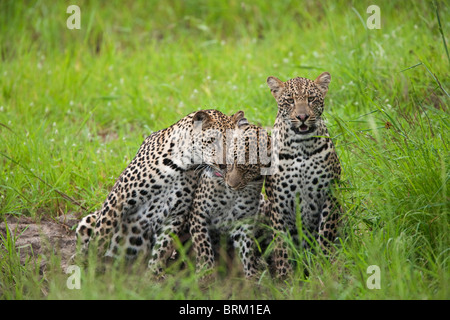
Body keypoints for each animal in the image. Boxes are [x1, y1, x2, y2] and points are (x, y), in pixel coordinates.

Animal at [75, 109, 248, 274]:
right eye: (212, 141)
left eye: (234, 144)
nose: (225, 165)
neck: (182, 165)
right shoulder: (118, 199)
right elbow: (101, 236)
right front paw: (93, 266)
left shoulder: (177, 215)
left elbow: (162, 246)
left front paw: (154, 274)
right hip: (88, 220)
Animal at [189, 120, 270, 278]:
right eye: (231, 160)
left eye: (250, 170)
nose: (231, 185)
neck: (231, 195)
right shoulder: (199, 214)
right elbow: (203, 247)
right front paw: (206, 274)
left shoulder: (243, 223)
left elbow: (247, 251)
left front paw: (252, 277)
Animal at [264, 72, 342, 278]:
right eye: (290, 101)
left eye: (311, 99)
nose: (302, 117)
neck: (302, 147)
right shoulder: (279, 204)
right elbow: (282, 245)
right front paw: (286, 278)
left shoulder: (330, 195)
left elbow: (325, 233)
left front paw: (324, 267)